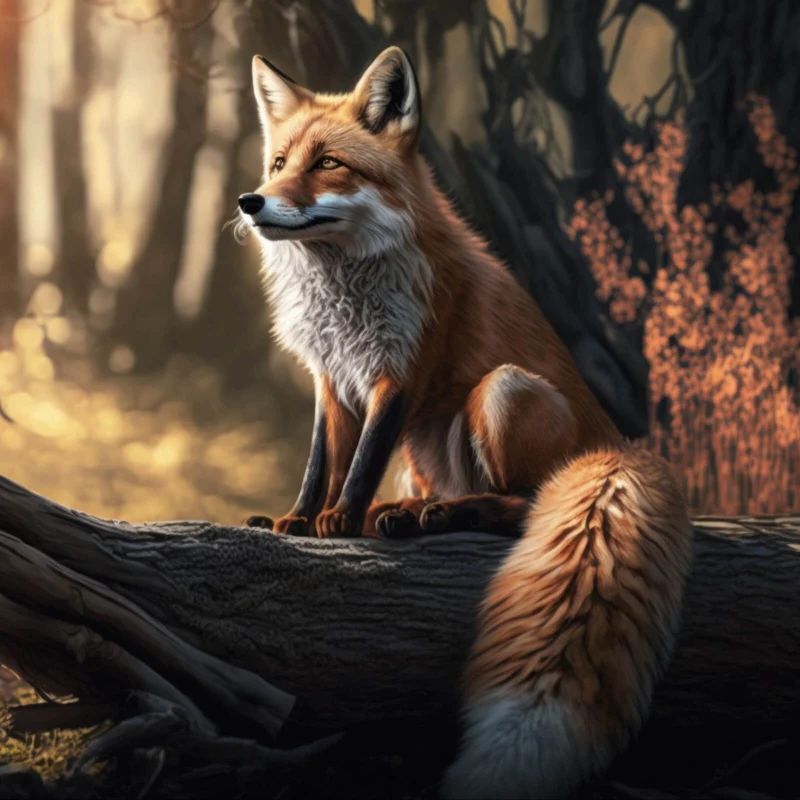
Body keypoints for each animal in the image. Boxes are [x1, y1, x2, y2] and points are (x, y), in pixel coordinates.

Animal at [238, 46, 693, 799]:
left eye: (328, 163)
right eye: (277, 163)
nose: (251, 201)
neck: (345, 286)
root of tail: (616, 444)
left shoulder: (401, 372)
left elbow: (359, 464)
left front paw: (341, 521)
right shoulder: (332, 379)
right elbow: (320, 463)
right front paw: (299, 520)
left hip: (500, 391)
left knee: (519, 503)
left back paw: (432, 517)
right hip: (428, 447)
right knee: (455, 494)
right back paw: (406, 514)